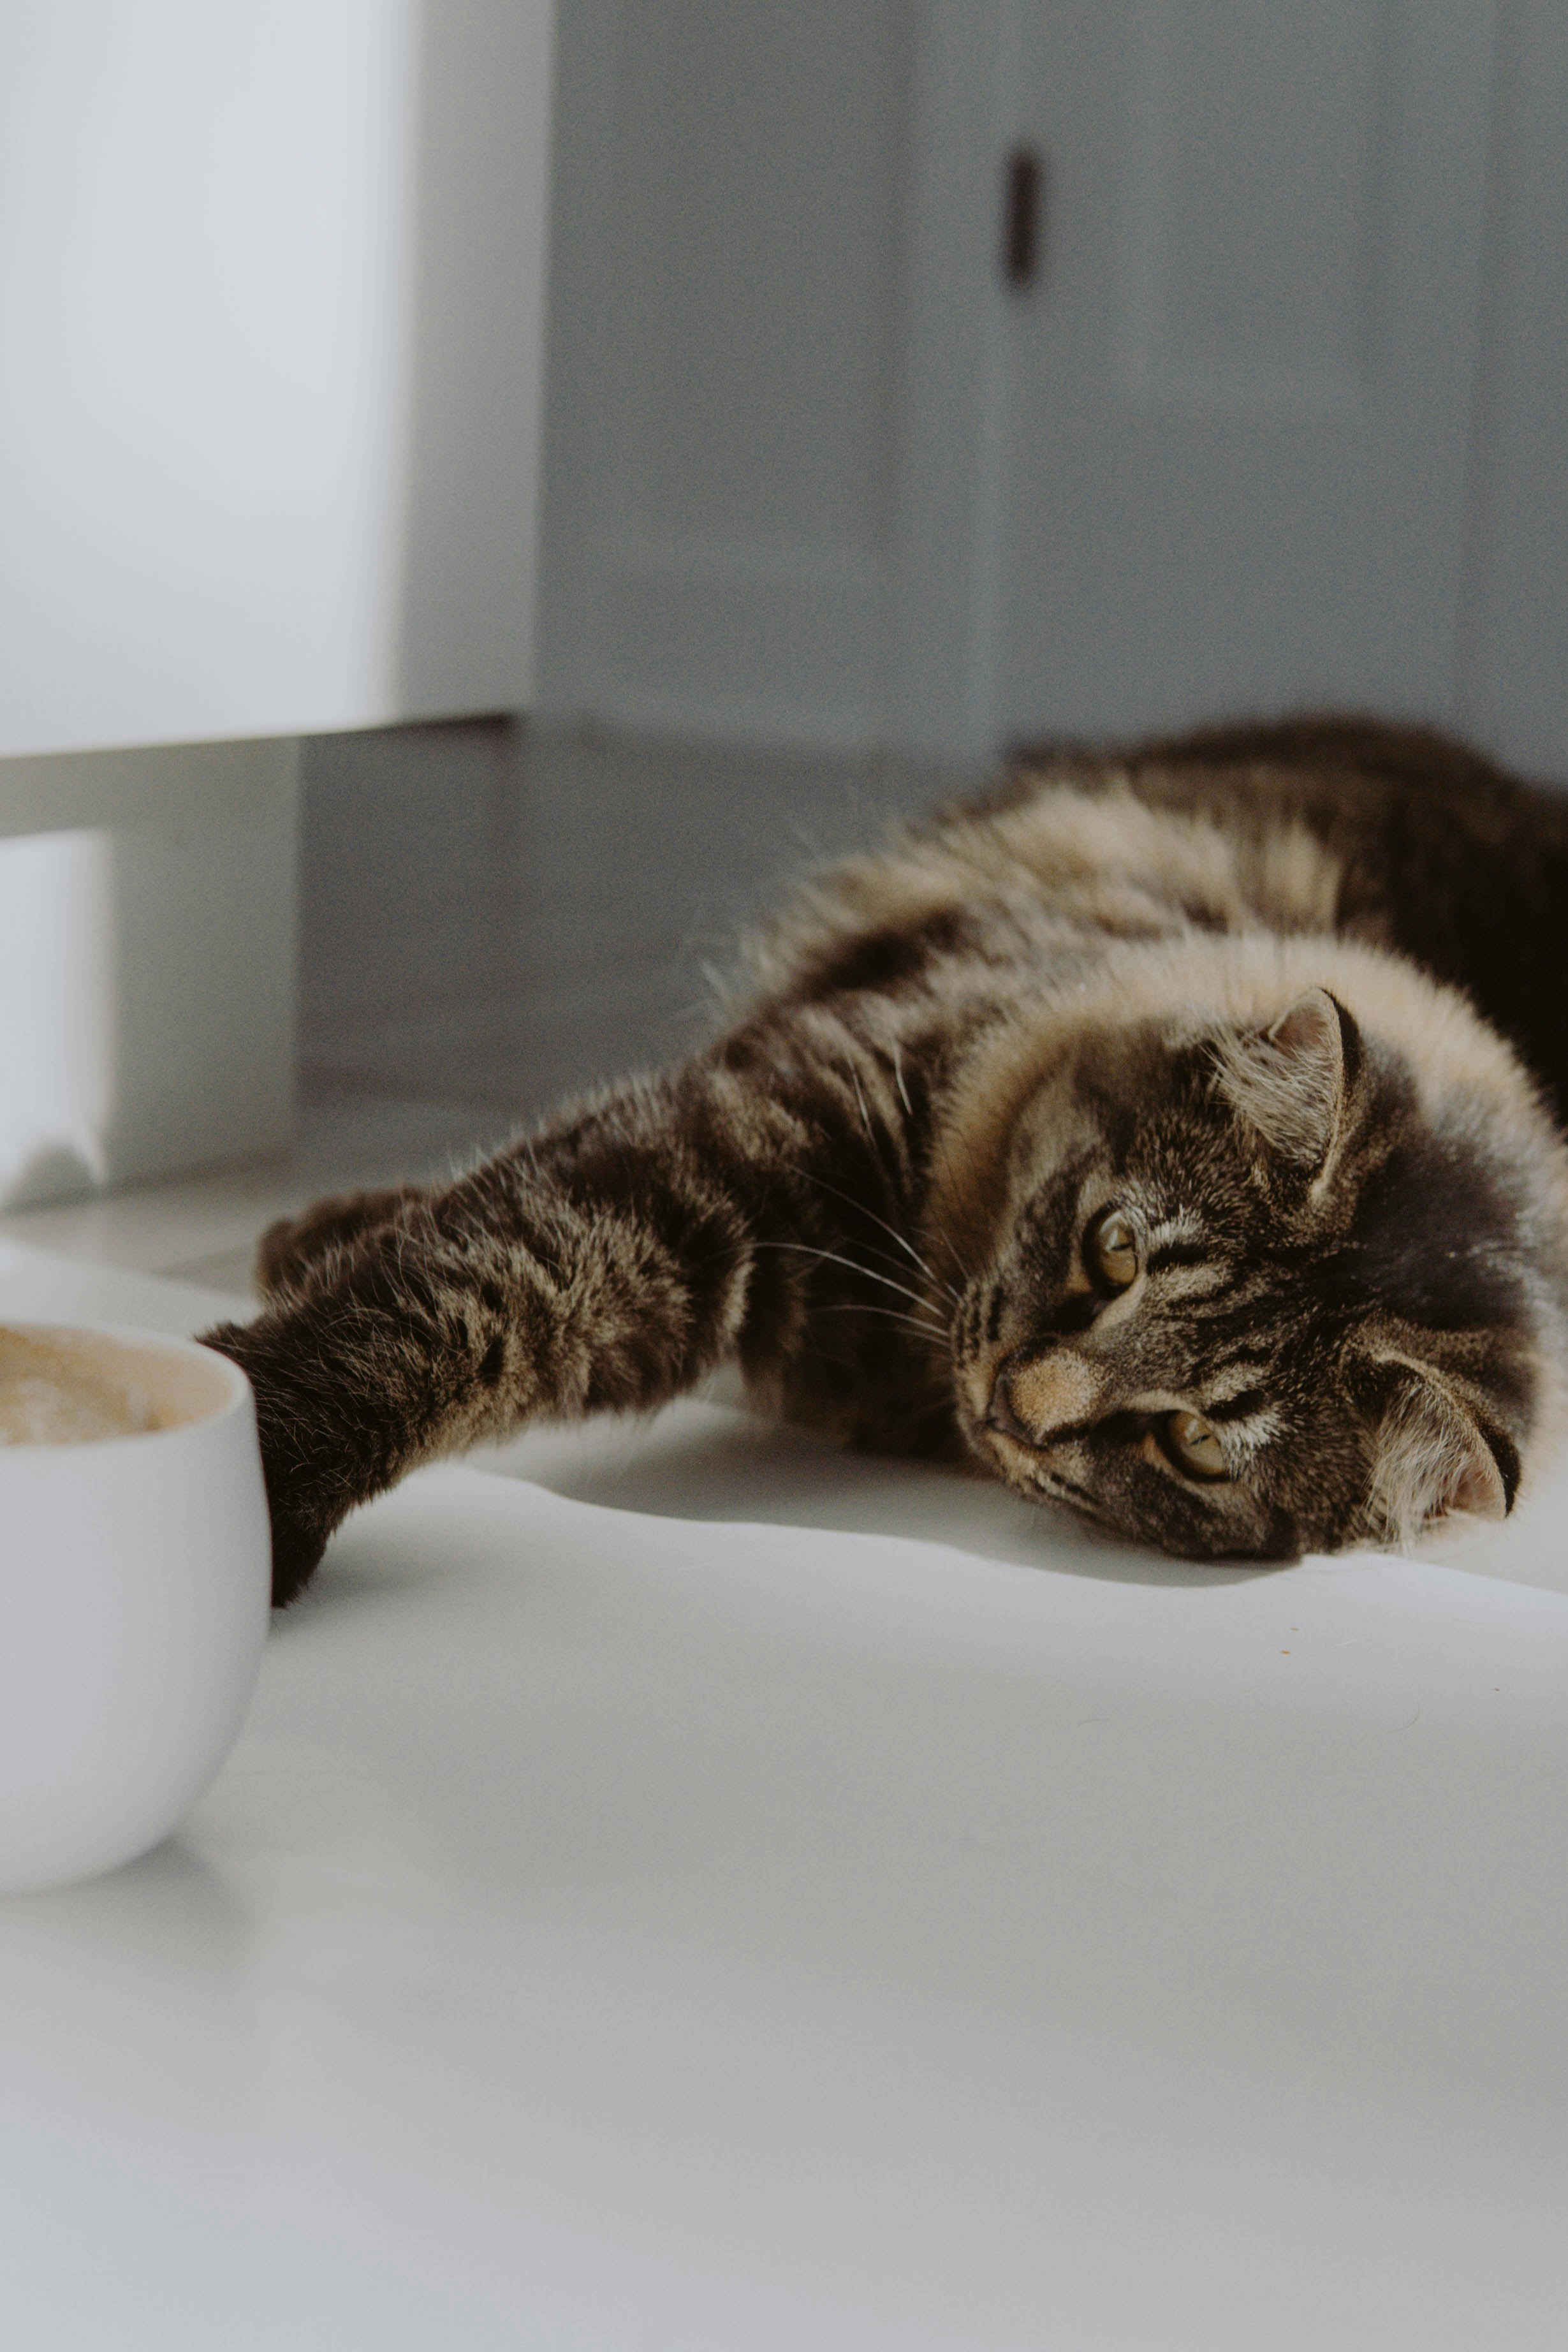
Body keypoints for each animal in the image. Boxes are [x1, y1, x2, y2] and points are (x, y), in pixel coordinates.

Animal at [205, 715, 1568, 1599]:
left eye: (1191, 1445)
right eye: (1112, 1246)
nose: (1017, 1403)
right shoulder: (736, 1143)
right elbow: (459, 1294)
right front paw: (249, 1479)